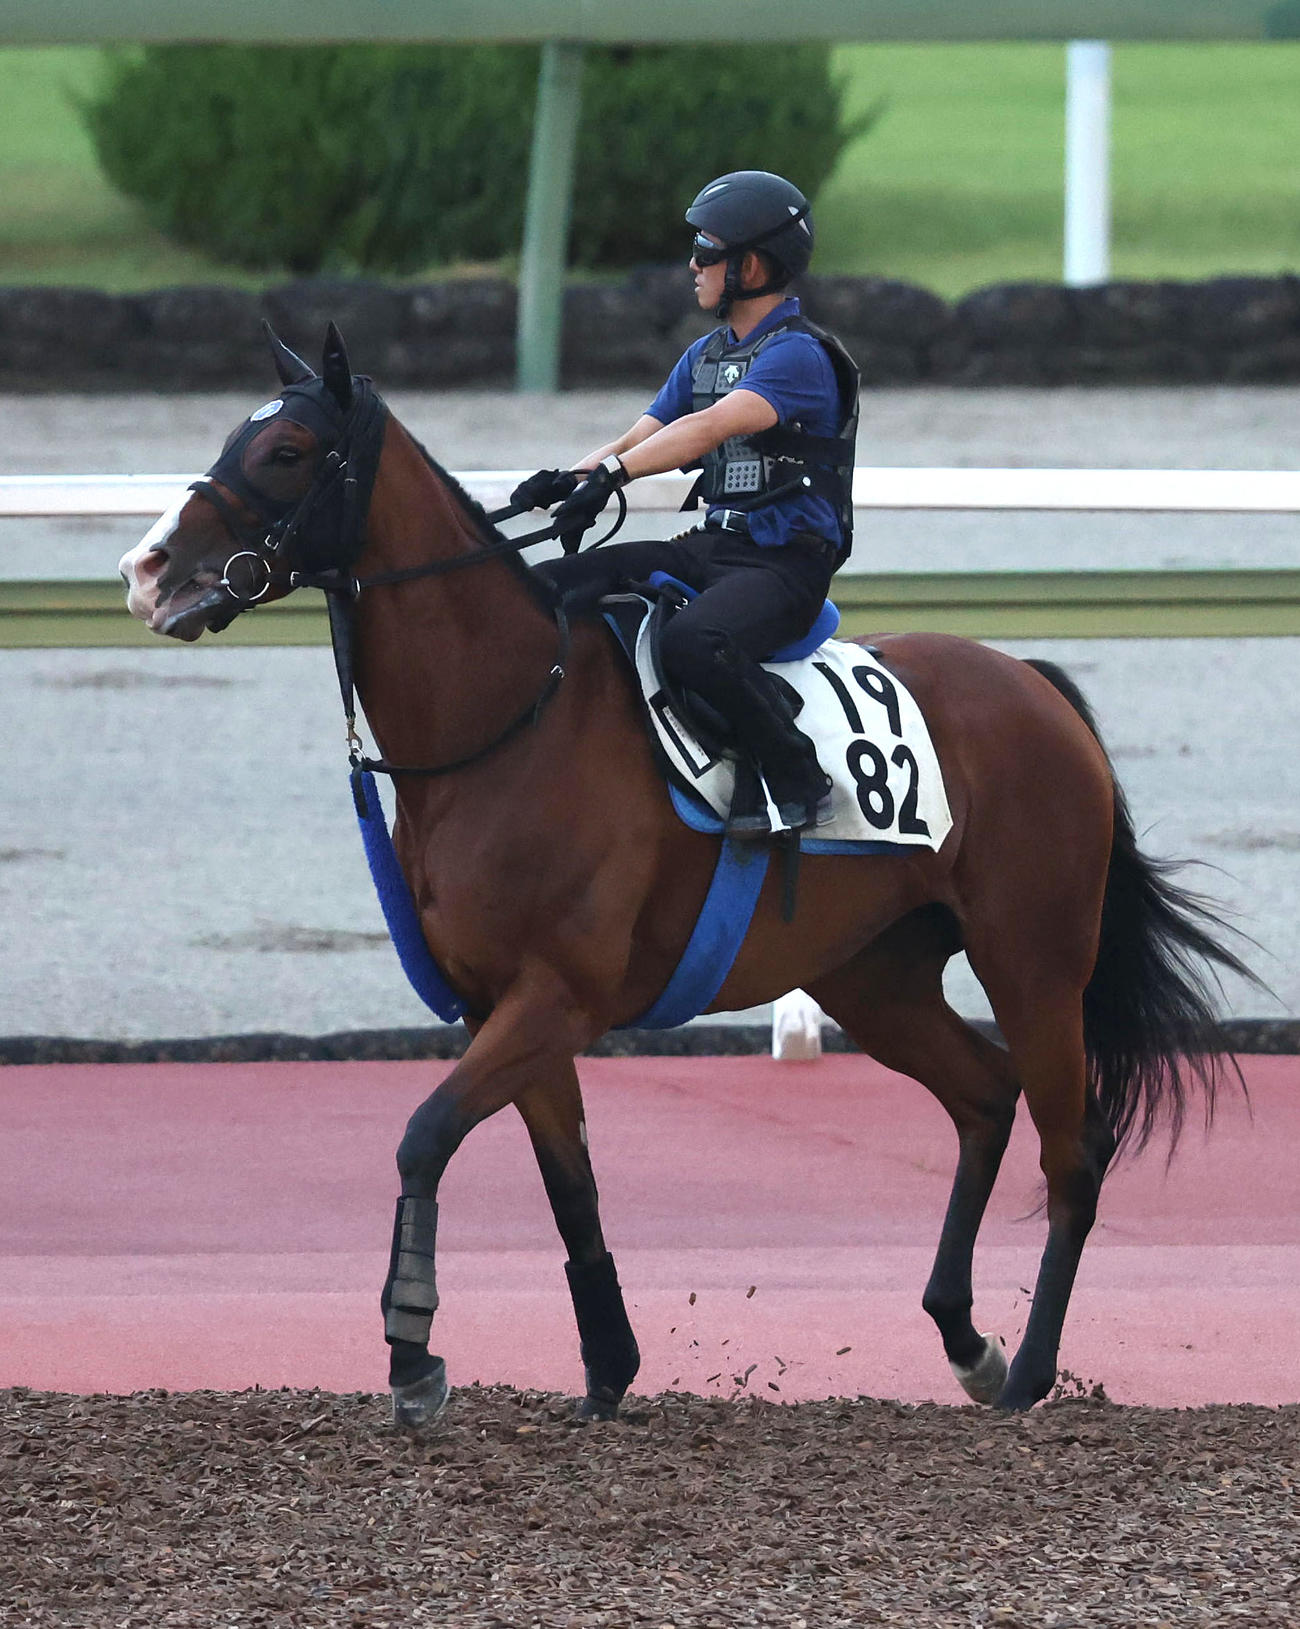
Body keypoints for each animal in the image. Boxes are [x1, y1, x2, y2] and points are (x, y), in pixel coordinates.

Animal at [119, 325, 1253, 1428]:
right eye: (236, 436)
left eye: (286, 450)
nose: (147, 568)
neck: (512, 716)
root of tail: (1036, 686)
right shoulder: (503, 1004)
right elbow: (567, 1184)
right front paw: (606, 1368)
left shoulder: (556, 996)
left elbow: (424, 1135)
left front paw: (412, 1352)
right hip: (874, 976)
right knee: (983, 1097)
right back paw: (967, 1341)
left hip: (1033, 961)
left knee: (1073, 1150)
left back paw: (1028, 1376)